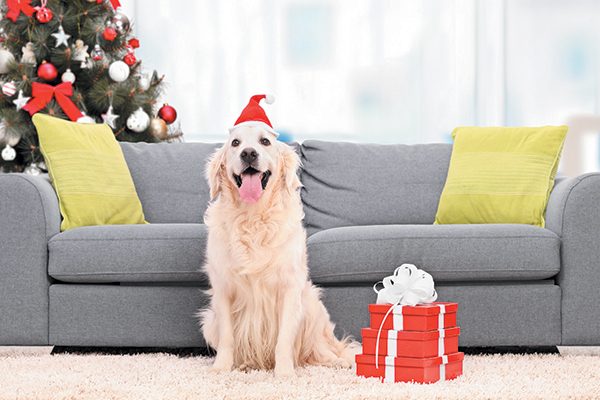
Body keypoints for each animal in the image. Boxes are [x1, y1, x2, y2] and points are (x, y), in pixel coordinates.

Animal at [199, 96, 356, 376]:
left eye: (265, 141)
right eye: (235, 143)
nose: (248, 153)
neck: (253, 218)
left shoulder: (289, 288)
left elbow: (284, 340)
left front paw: (284, 373)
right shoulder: (223, 289)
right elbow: (228, 337)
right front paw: (221, 368)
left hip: (312, 305)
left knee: (319, 349)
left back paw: (337, 361)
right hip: (209, 320)